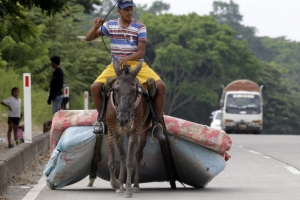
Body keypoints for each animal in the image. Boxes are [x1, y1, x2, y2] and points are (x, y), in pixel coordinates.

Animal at [106, 58, 152, 198]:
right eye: (115, 89)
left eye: (134, 91)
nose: (123, 119)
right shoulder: (114, 132)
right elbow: (116, 159)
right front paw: (118, 184)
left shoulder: (133, 132)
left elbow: (130, 161)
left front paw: (128, 189)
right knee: (123, 156)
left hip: (143, 131)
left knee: (138, 155)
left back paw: (135, 185)